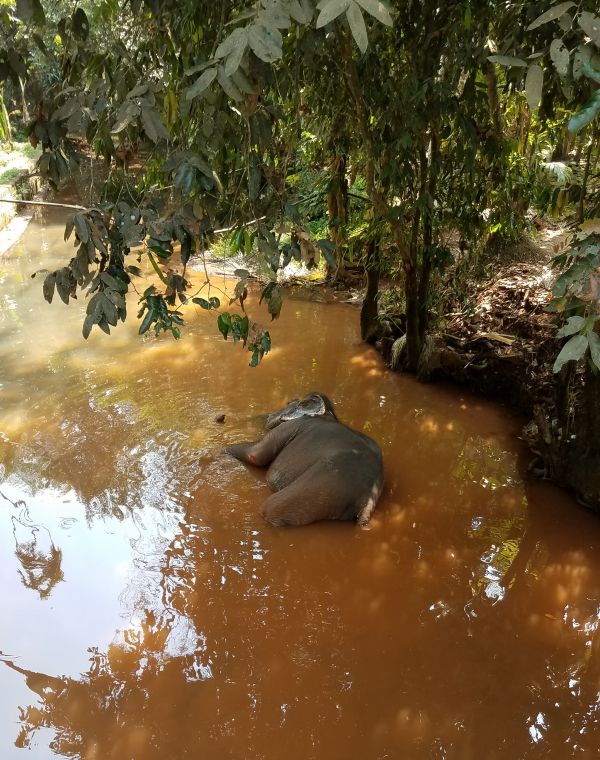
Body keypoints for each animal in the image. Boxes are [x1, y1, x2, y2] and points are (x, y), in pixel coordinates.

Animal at [225, 392, 384, 527]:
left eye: (290, 402)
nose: (269, 415)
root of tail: (367, 499)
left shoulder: (291, 426)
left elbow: (256, 455)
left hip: (317, 486)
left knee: (270, 509)